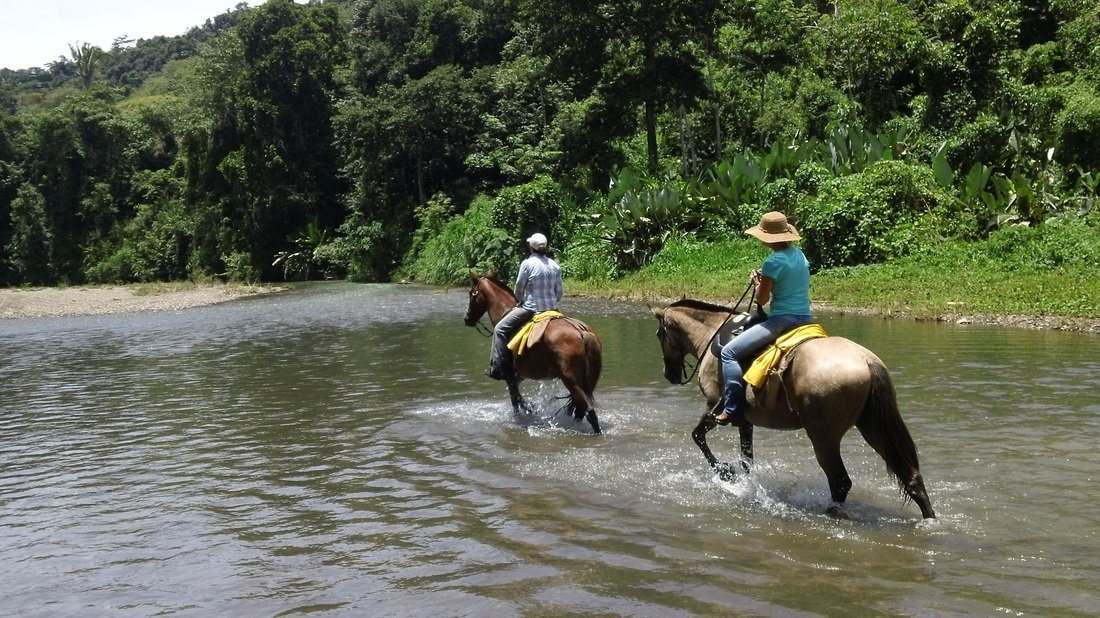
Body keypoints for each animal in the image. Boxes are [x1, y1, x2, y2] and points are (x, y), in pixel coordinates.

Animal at [462, 269, 607, 433]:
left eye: (471, 293)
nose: (467, 318)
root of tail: (582, 332)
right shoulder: (518, 375)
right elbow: (517, 397)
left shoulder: (509, 375)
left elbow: (515, 399)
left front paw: (527, 412)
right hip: (587, 382)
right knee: (580, 410)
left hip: (571, 380)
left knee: (588, 410)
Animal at [651, 296, 937, 516]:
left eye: (659, 334)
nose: (670, 374)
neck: (712, 337)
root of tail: (867, 361)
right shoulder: (745, 420)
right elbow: (747, 460)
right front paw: (748, 486)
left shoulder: (715, 407)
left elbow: (697, 436)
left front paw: (725, 473)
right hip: (872, 427)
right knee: (911, 477)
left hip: (824, 437)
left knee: (840, 481)